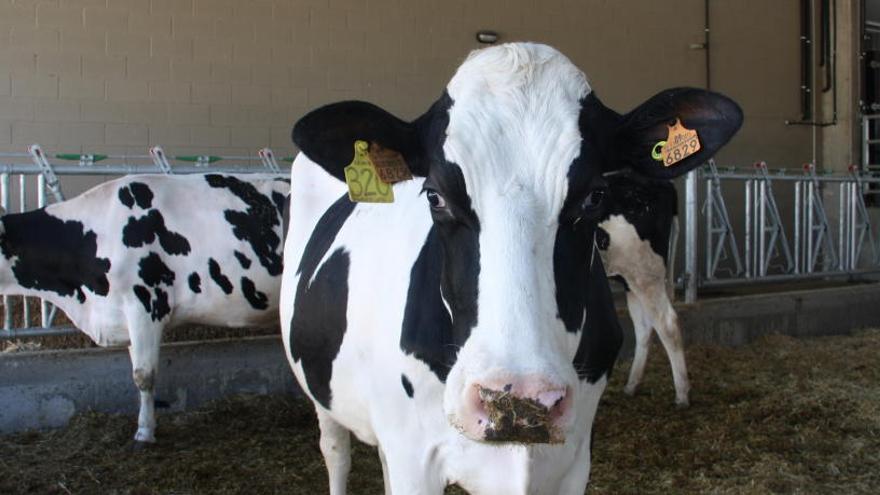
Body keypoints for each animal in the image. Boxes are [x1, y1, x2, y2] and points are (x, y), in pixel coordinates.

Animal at [600, 174, 688, 406]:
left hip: (644, 273)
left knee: (667, 324)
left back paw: (682, 394)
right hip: (631, 281)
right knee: (644, 328)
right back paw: (631, 386)